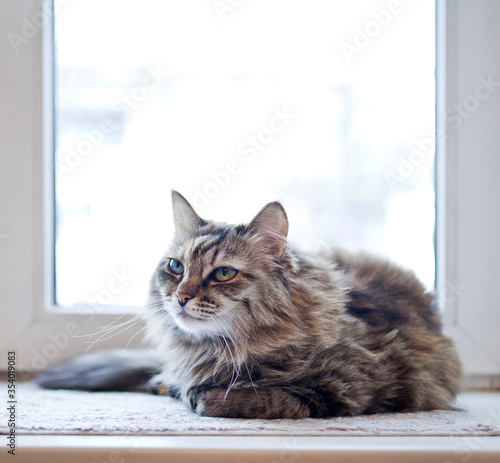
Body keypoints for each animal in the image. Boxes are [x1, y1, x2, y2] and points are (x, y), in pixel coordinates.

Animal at [37, 191, 462, 420]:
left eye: (223, 273)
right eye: (176, 267)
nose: (181, 296)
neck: (216, 350)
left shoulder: (352, 387)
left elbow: (235, 398)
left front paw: (199, 392)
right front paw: (177, 385)